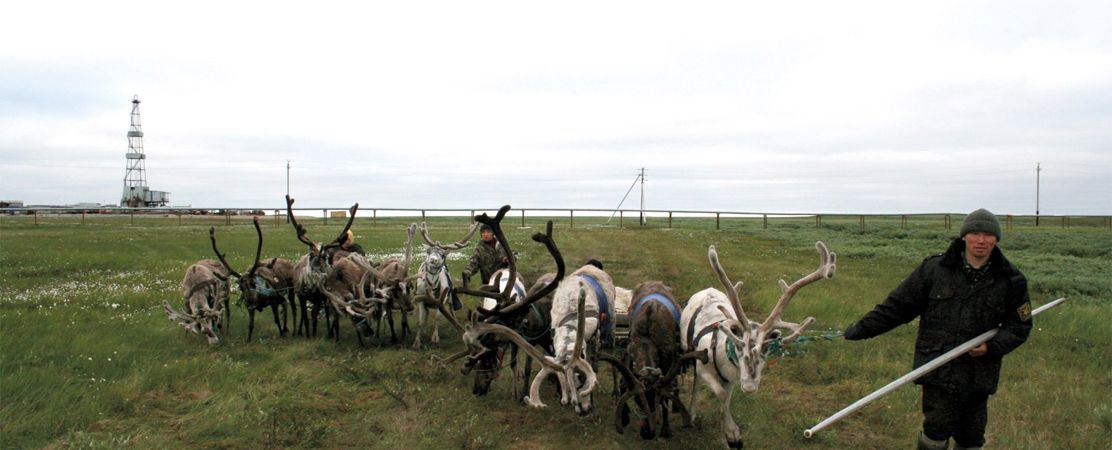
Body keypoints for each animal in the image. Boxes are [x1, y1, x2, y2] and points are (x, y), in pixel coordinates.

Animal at [681, 242, 836, 448]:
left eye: (766, 350)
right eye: (739, 347)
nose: (749, 387)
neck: (722, 358)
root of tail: (708, 288)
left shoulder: (732, 378)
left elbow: (726, 401)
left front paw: (729, 436)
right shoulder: (703, 368)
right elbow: (720, 395)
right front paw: (732, 432)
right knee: (696, 382)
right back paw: (691, 413)